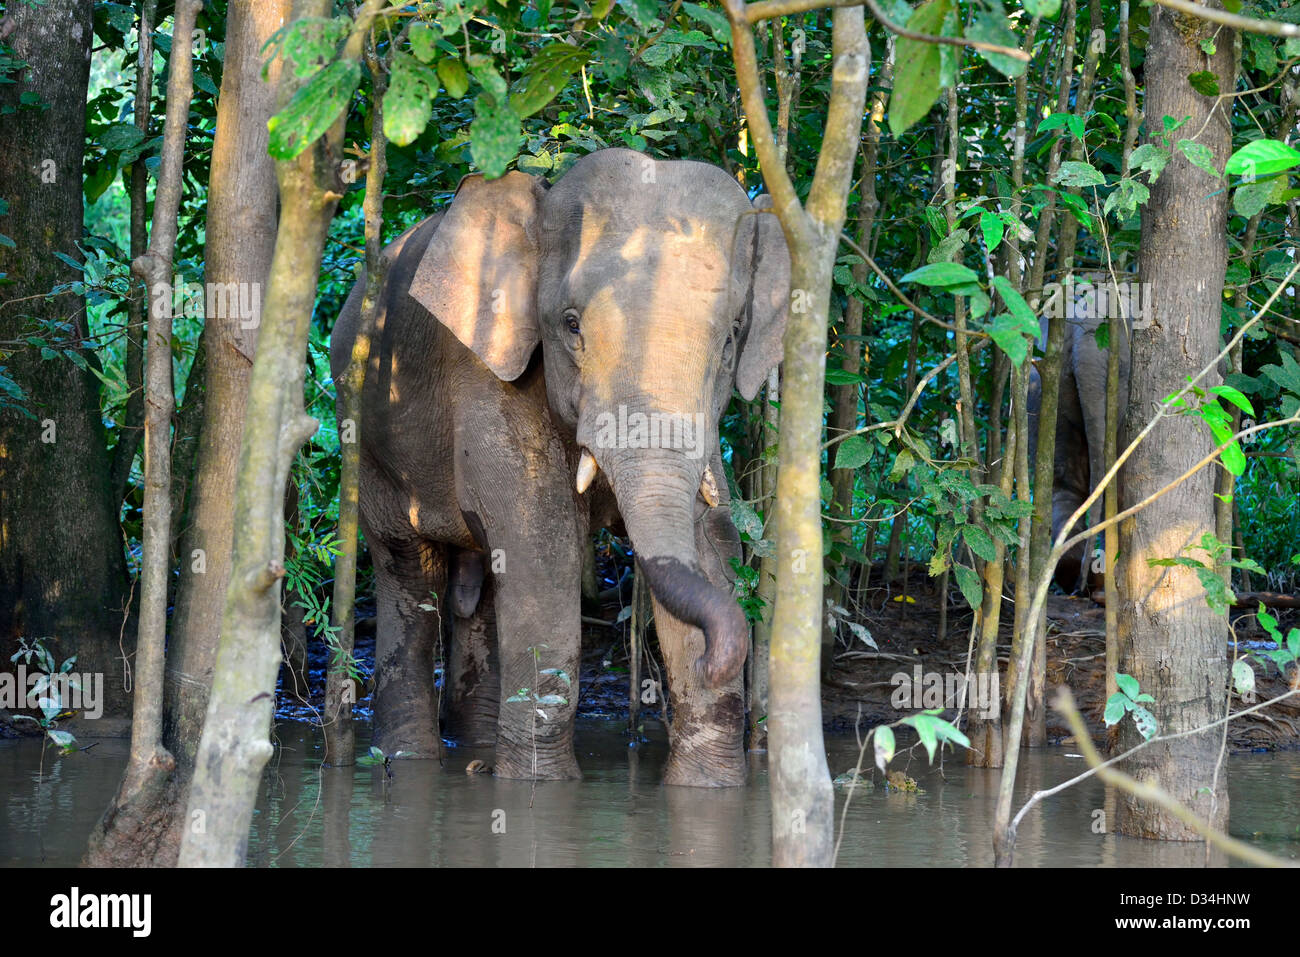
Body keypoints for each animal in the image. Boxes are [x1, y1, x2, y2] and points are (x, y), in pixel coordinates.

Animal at [328, 148, 790, 787]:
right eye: (571, 325)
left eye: (731, 340)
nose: (710, 660)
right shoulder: (489, 377)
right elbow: (541, 562)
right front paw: (537, 786)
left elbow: (711, 547)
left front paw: (709, 788)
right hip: (368, 443)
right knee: (409, 578)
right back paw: (410, 762)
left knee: (482, 588)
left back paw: (475, 751)